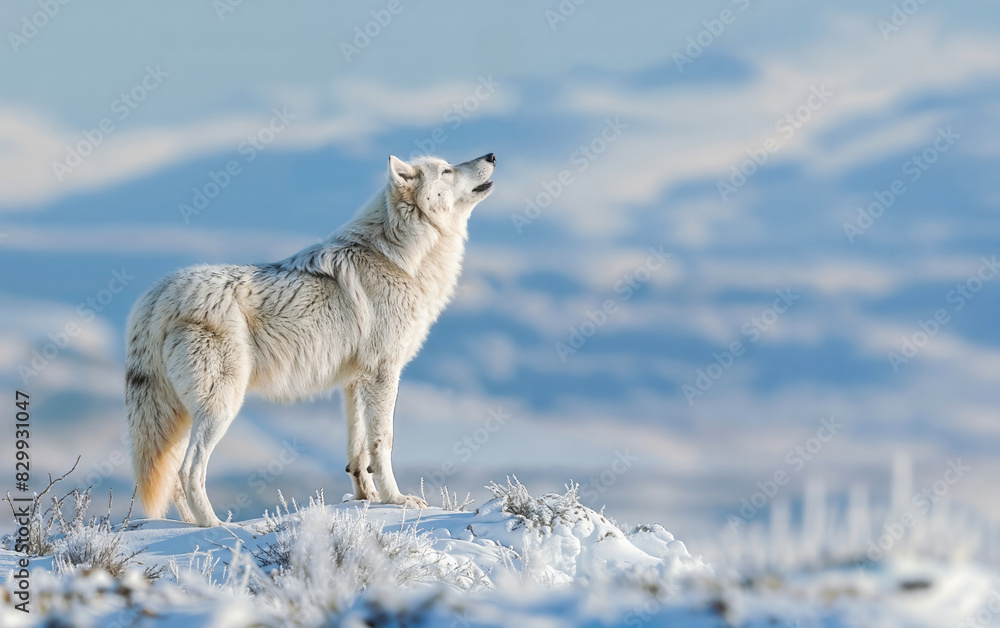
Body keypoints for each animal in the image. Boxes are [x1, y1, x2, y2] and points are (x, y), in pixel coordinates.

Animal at [125, 153, 496, 526]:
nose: (492, 156)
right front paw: (397, 500)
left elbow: (358, 452)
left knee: (173, 477)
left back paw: (186, 525)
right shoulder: (383, 373)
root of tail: (158, 294)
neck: (398, 258)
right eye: (446, 170)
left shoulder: (354, 381)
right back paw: (214, 527)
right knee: (189, 471)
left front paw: (365, 499)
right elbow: (383, 443)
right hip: (220, 407)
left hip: (182, 417)